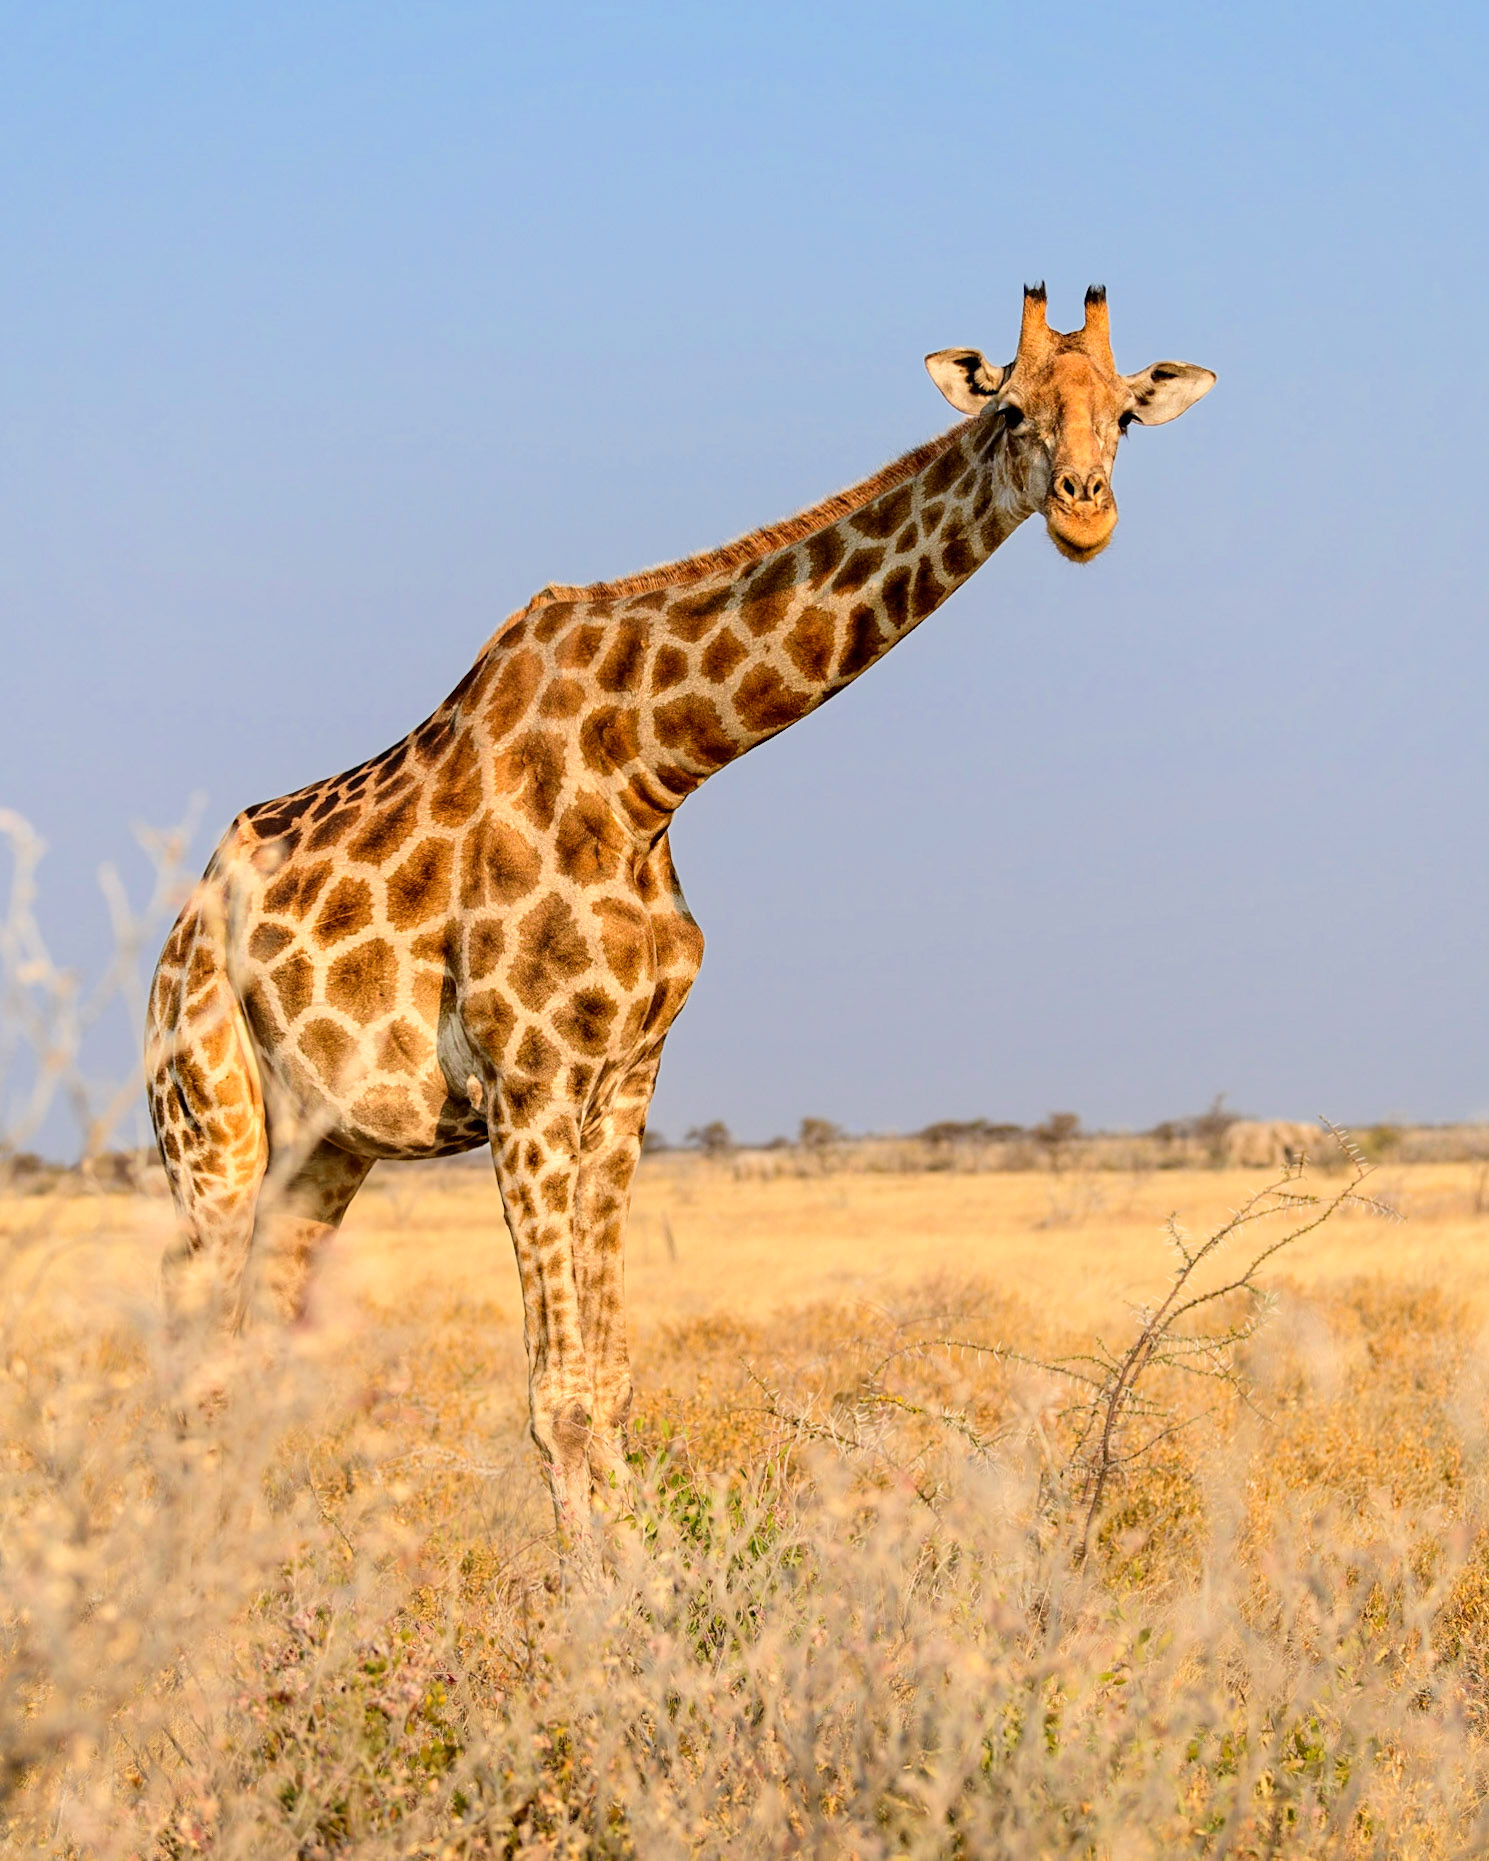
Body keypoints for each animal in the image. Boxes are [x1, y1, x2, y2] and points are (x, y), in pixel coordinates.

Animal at [145, 284, 1214, 1558]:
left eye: (1126, 415)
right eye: (1008, 410)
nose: (1084, 513)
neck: (650, 772)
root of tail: (174, 938)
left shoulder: (625, 1081)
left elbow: (605, 1383)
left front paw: (639, 1581)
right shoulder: (528, 1084)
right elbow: (555, 1396)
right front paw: (595, 1605)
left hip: (325, 1148)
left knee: (250, 1358)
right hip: (208, 1122)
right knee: (200, 1367)